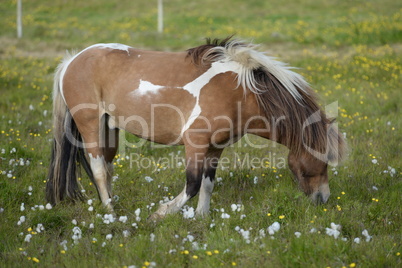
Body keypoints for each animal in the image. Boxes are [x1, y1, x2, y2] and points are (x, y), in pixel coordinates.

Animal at [46, 37, 346, 218]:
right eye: (323, 161)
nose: (323, 198)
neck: (242, 92)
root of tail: (72, 61)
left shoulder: (216, 147)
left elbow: (207, 183)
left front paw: (202, 217)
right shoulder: (195, 144)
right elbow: (191, 184)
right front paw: (160, 214)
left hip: (110, 129)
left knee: (107, 168)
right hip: (90, 124)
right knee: (98, 167)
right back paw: (111, 212)